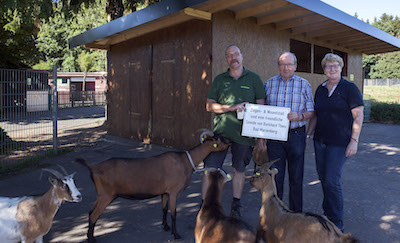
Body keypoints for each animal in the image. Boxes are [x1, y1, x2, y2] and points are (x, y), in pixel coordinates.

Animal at [76, 129, 230, 241]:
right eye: (220, 139)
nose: (230, 142)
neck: (185, 161)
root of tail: (94, 167)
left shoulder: (164, 192)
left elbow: (164, 209)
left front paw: (165, 227)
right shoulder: (173, 192)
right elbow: (174, 213)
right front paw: (175, 234)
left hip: (101, 195)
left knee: (90, 212)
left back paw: (90, 235)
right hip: (106, 195)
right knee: (94, 215)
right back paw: (91, 239)